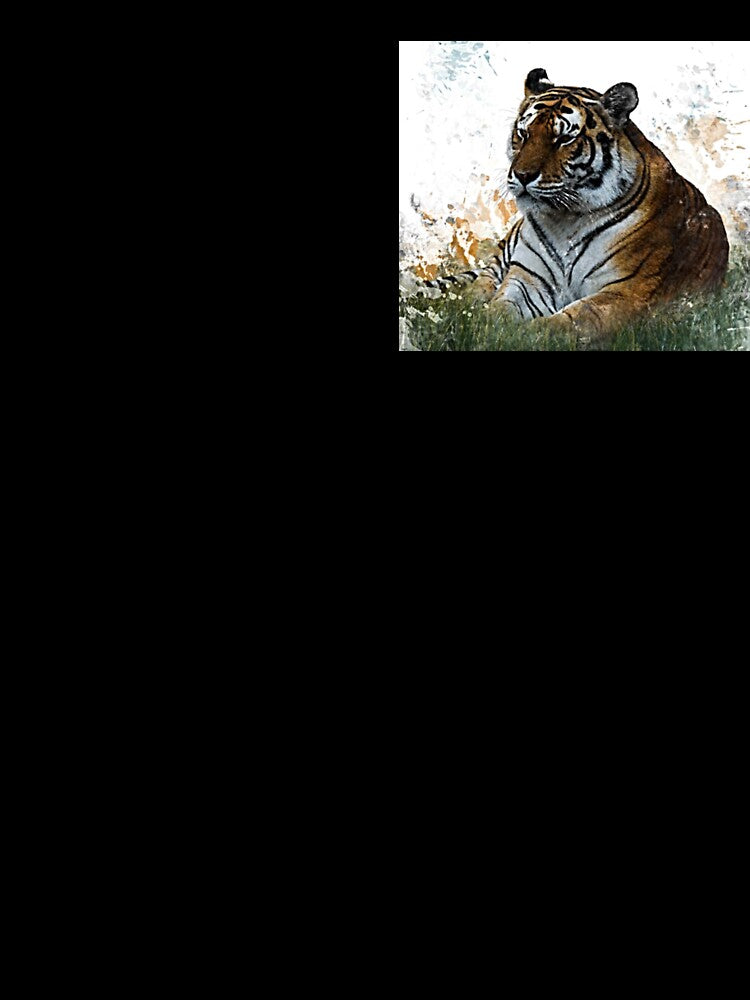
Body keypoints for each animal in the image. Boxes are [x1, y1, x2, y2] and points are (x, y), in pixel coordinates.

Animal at [423, 68, 729, 346]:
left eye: (564, 139)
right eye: (523, 133)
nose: (522, 175)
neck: (564, 220)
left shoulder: (628, 290)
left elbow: (572, 321)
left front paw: (525, 334)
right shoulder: (527, 278)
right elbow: (499, 309)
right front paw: (484, 325)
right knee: (485, 276)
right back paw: (465, 303)